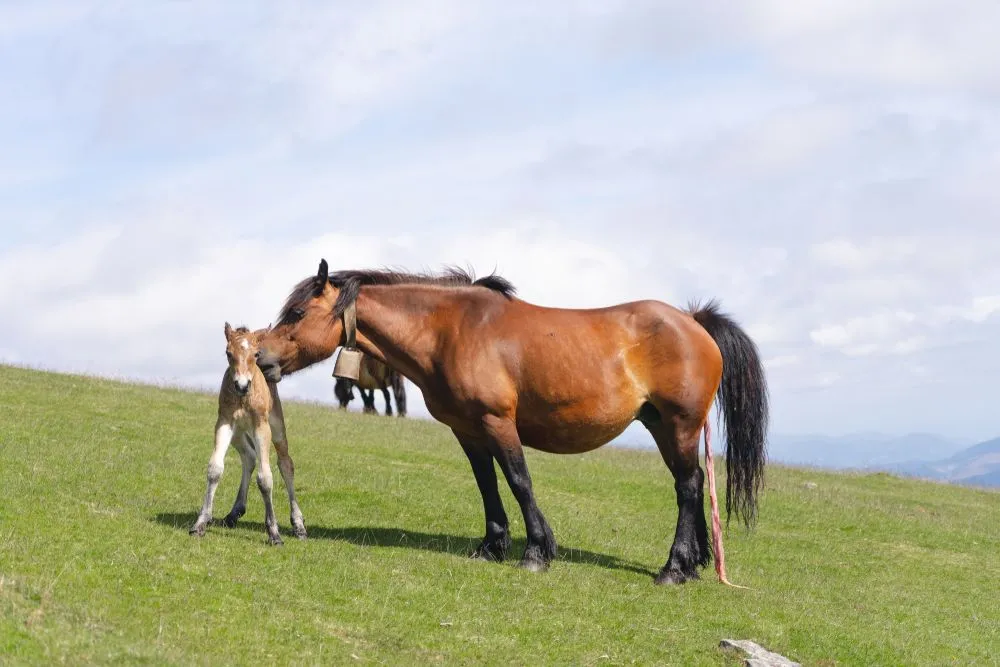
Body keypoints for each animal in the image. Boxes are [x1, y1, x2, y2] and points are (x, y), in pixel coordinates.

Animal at [190, 323, 307, 545]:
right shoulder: (224, 422)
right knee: (249, 457)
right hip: (238, 434)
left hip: (276, 428)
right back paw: (234, 513)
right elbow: (215, 469)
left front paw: (274, 533)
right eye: (228, 353)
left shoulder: (262, 427)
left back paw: (299, 525)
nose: (242, 385)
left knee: (286, 464)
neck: (244, 398)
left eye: (256, 354)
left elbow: (265, 478)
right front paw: (200, 523)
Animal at [257, 259, 768, 585]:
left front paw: (538, 552)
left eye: (297, 313)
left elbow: (519, 481)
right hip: (662, 426)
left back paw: (674, 569)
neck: (452, 330)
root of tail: (693, 320)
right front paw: (492, 546)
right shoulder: (467, 429)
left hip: (679, 425)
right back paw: (694, 563)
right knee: (693, 482)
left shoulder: (498, 422)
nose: (261, 359)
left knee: (687, 486)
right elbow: (487, 484)